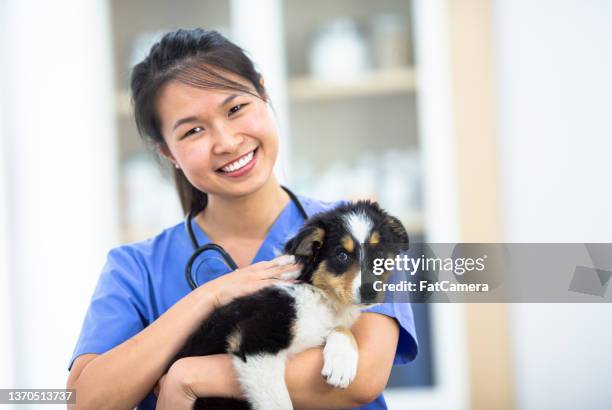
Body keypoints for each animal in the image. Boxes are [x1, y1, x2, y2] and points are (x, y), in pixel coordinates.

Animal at [172, 200, 408, 408]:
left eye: (379, 254)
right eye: (341, 255)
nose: (370, 292)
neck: (319, 297)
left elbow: (341, 329)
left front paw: (341, 365)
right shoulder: (256, 342)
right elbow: (279, 404)